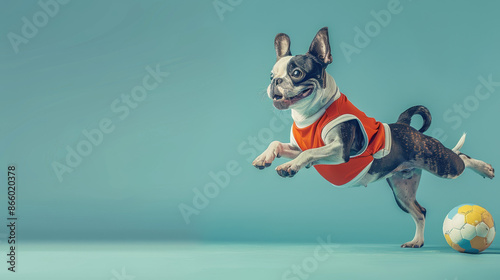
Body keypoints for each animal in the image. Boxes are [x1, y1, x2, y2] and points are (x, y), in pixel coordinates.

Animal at [252, 27, 494, 248]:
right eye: (271, 75)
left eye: (296, 73)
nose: (275, 82)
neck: (310, 115)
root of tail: (404, 125)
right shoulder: (297, 148)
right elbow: (278, 143)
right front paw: (264, 157)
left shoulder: (340, 150)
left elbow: (310, 152)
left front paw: (289, 166)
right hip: (402, 191)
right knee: (420, 211)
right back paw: (417, 241)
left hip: (441, 164)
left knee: (461, 157)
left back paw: (485, 168)